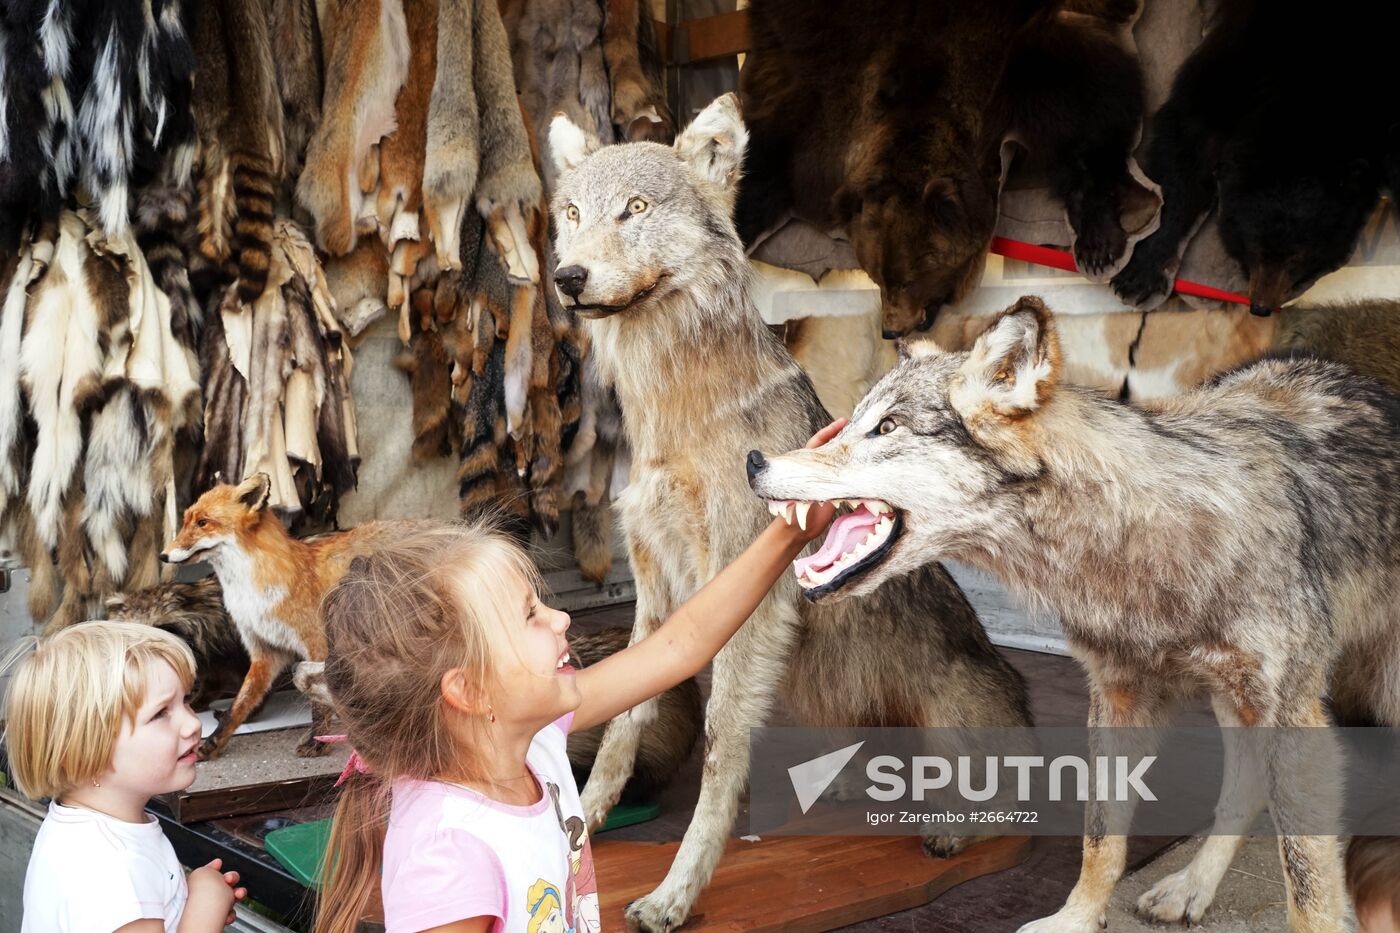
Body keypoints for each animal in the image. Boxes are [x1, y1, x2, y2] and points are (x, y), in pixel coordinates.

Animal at [161, 473, 408, 756]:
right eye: (186, 521)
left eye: (203, 523)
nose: (163, 555)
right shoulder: (265, 651)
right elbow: (238, 706)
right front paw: (213, 743)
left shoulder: (317, 645)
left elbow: (319, 704)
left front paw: (317, 742)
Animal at [546, 95, 1030, 930]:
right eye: (572, 213)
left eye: (635, 209)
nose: (568, 277)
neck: (674, 414)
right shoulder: (655, 586)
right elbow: (623, 722)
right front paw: (588, 828)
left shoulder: (746, 597)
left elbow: (719, 747)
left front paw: (676, 892)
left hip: (951, 717)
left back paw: (948, 830)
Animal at [750, 295, 1400, 930]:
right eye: (853, 421)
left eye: (885, 427)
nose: (756, 462)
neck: (1140, 545)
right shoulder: (1116, 697)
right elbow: (1101, 840)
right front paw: (1077, 918)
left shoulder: (1290, 713)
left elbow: (1309, 890)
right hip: (1233, 703)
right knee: (1243, 789)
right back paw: (1190, 887)